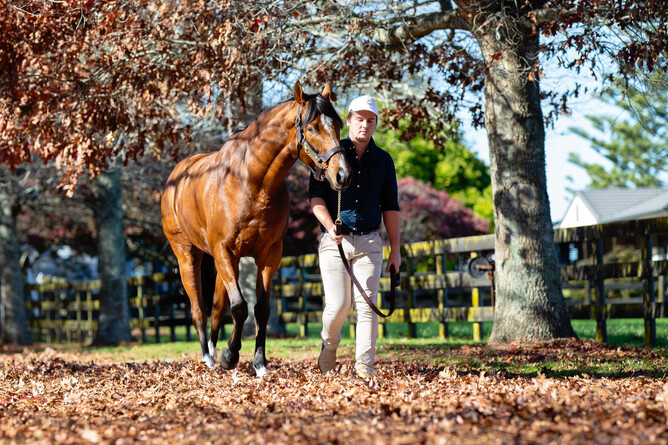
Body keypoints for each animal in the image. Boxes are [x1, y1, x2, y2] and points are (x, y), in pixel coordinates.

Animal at [161, 82, 350, 376]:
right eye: (313, 127)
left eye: (339, 124)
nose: (342, 175)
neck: (251, 181)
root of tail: (176, 177)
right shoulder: (224, 250)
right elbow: (240, 307)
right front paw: (230, 356)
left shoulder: (269, 254)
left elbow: (261, 309)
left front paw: (259, 363)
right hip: (188, 256)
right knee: (198, 308)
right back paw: (208, 357)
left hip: (225, 263)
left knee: (217, 306)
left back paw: (213, 353)